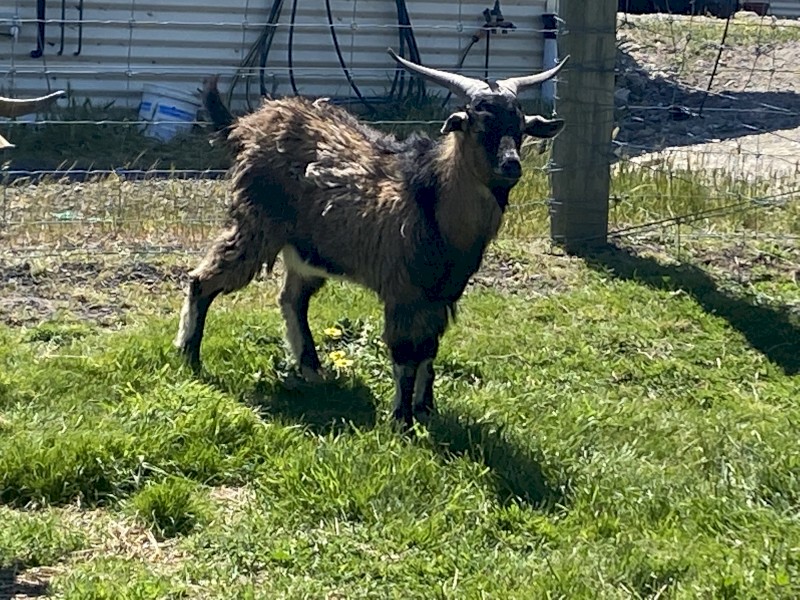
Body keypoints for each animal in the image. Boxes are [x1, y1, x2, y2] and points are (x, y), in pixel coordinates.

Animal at [175, 49, 567, 428]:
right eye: (478, 123)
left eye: (520, 126)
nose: (511, 165)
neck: (431, 196)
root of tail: (247, 125)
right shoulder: (403, 290)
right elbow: (405, 355)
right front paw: (401, 420)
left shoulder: (441, 295)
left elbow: (428, 351)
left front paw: (426, 409)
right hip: (256, 223)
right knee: (204, 279)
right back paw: (189, 356)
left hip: (307, 248)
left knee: (292, 299)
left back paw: (311, 370)